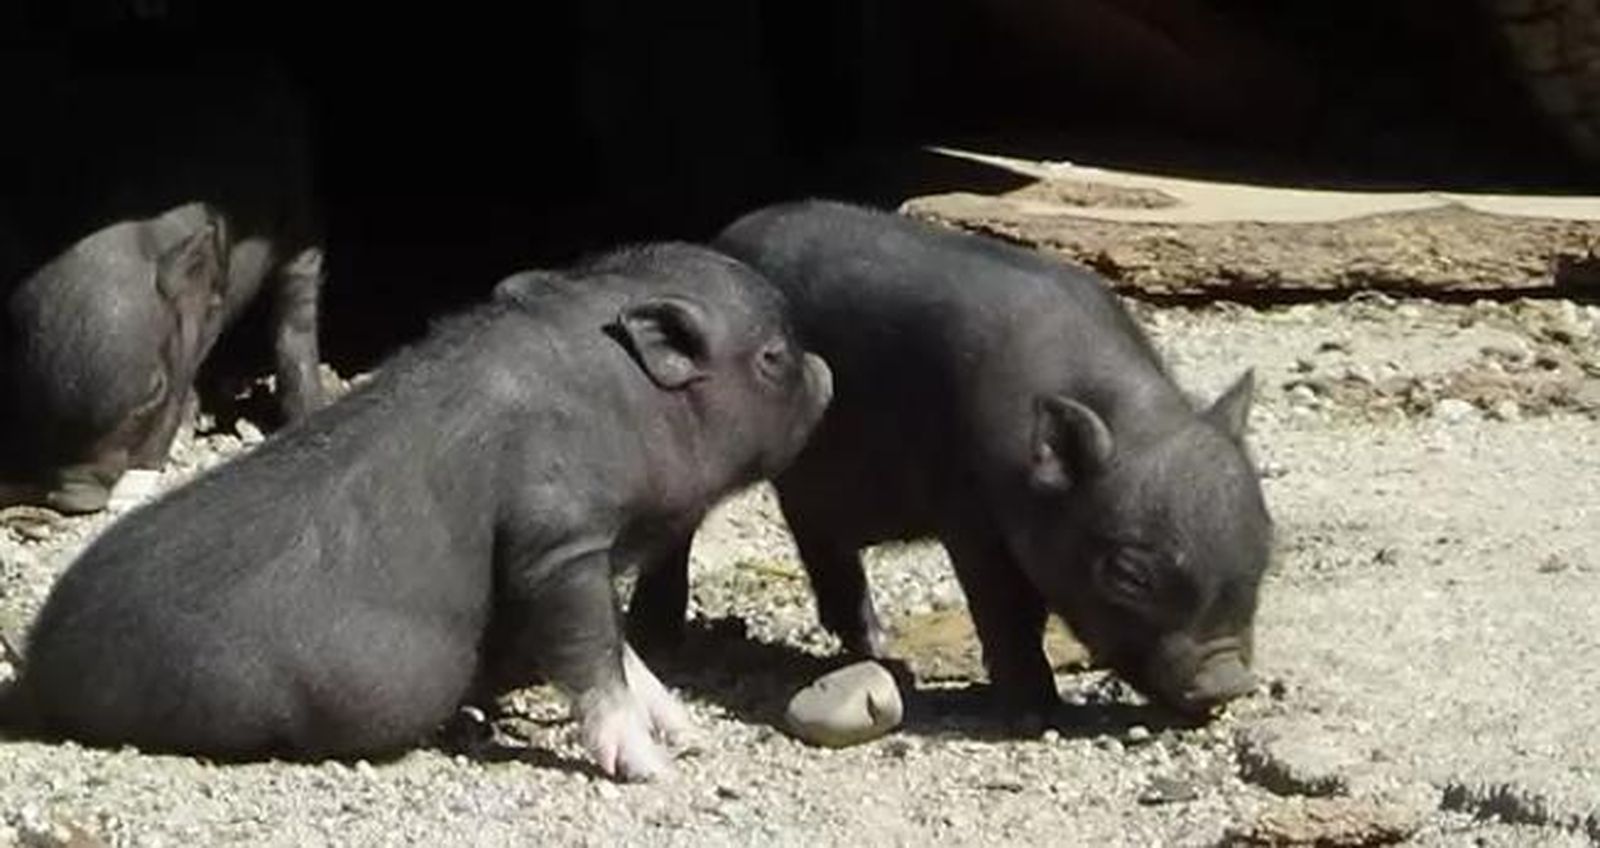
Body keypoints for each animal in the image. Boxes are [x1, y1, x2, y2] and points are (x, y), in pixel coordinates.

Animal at [7, 243, 833, 781]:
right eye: (772, 358)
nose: (827, 370)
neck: (615, 399)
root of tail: (36, 664)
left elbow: (619, 647)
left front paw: (689, 734)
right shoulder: (555, 539)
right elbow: (590, 651)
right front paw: (655, 770)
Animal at [629, 200, 1270, 719]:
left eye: (1264, 550)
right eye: (1129, 574)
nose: (1226, 680)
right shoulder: (970, 513)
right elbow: (1007, 609)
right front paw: (1036, 714)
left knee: (814, 529)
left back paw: (876, 646)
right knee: (683, 531)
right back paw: (660, 640)